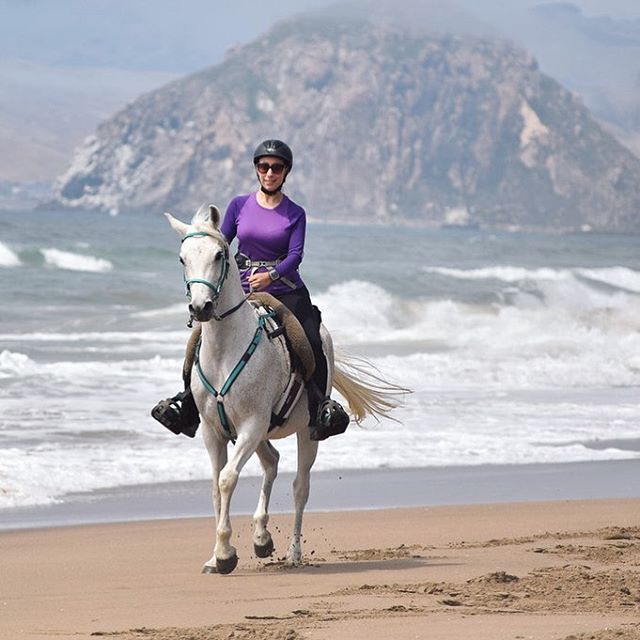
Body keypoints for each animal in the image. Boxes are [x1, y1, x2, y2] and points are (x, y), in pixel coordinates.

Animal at [165, 206, 404, 576]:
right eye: (182, 258)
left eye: (219, 255)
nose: (201, 308)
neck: (225, 351)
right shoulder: (213, 430)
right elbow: (217, 487)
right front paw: (216, 556)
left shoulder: (250, 425)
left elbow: (227, 479)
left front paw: (225, 554)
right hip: (264, 432)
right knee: (273, 462)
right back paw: (262, 538)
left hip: (305, 433)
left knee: (299, 487)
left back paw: (293, 553)